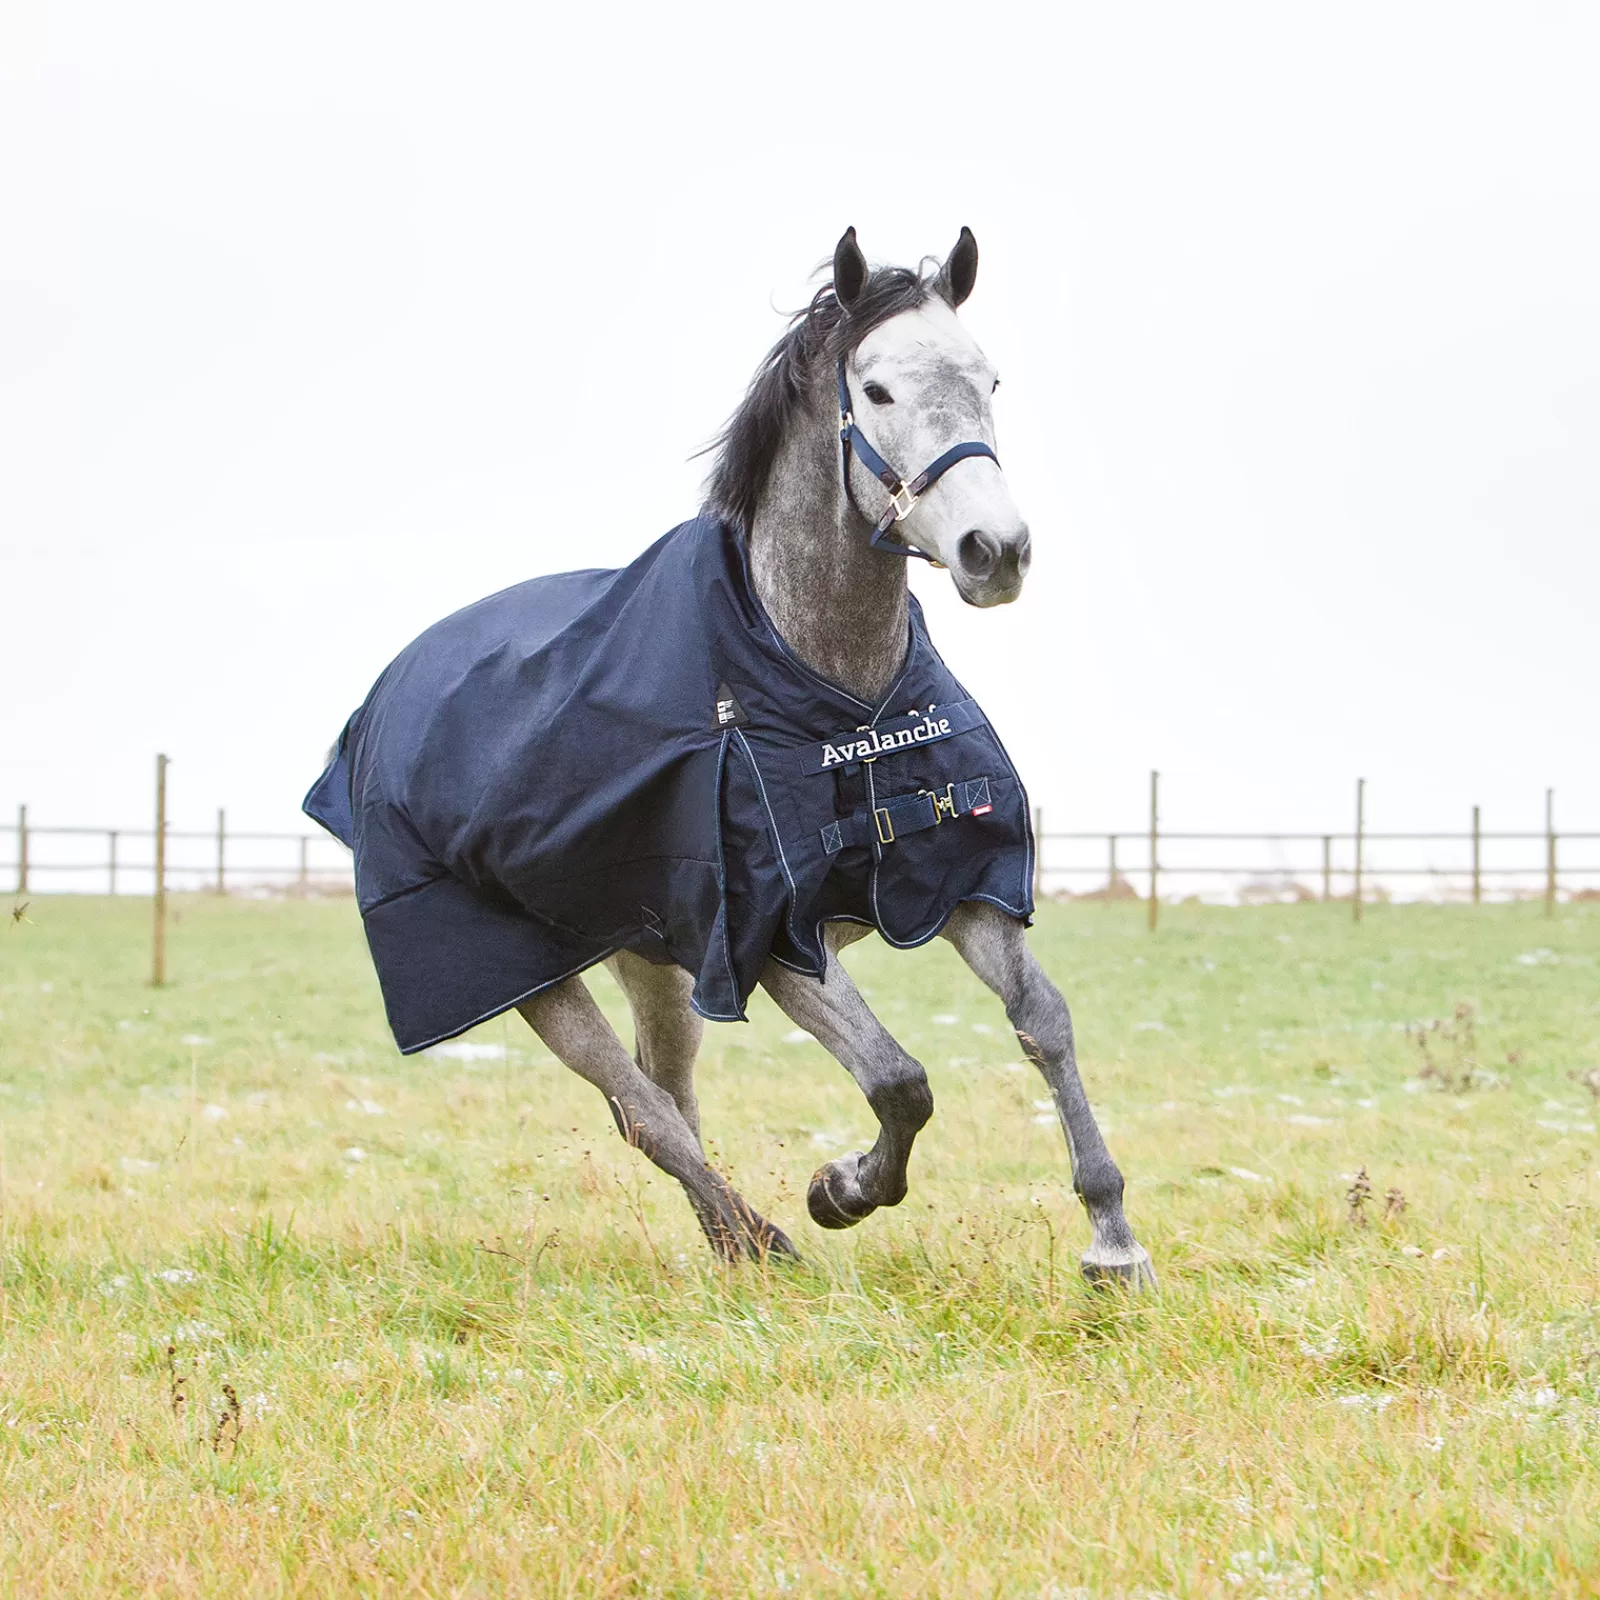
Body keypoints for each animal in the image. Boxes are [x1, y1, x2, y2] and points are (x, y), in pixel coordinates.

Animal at [308, 228, 1152, 1286]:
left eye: (990, 378)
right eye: (876, 390)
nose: (994, 550)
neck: (824, 684)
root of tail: (388, 696)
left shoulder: (949, 879)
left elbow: (1045, 1019)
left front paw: (1112, 1238)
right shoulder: (770, 938)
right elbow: (900, 1079)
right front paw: (842, 1190)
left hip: (650, 963)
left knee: (665, 1098)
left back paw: (728, 1245)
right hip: (535, 980)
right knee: (641, 1110)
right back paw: (762, 1239)